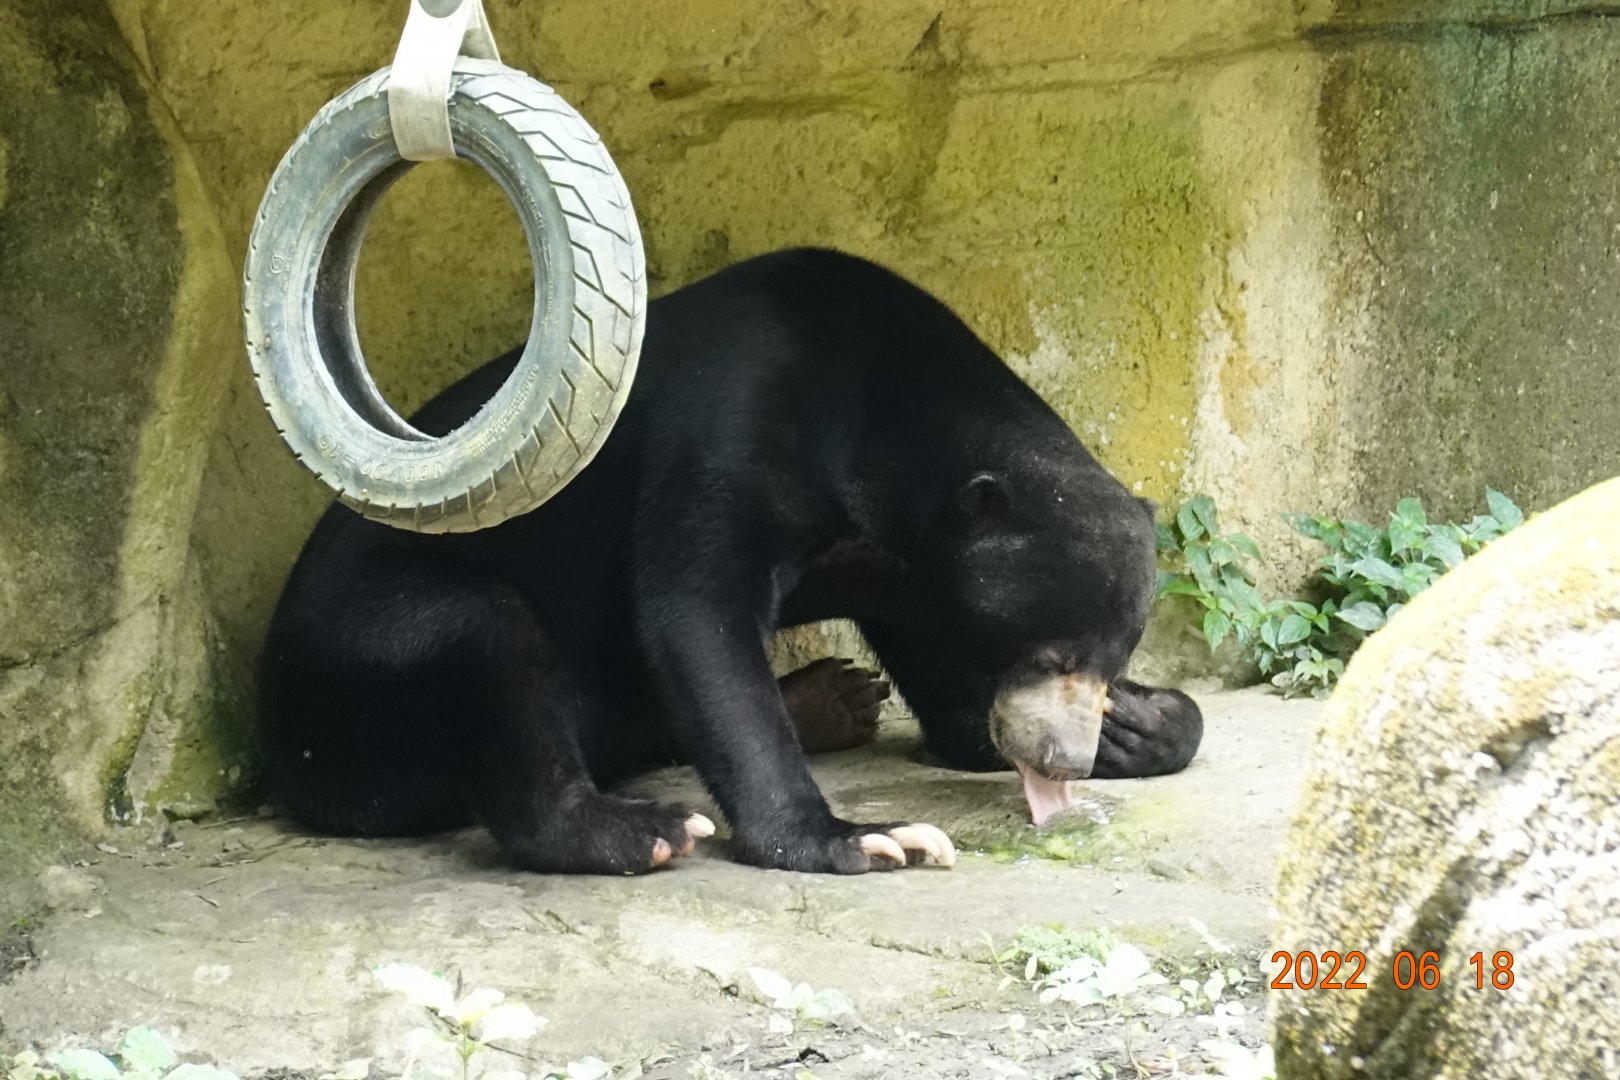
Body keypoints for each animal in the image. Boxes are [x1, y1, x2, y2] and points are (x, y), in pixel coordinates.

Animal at [256, 248, 1203, 875]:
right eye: (1050, 654)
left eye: (1112, 656)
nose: (1065, 763)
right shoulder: (733, 422)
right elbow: (694, 613)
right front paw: (857, 838)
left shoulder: (912, 574)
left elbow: (959, 706)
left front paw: (1146, 722)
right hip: (354, 657)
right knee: (479, 635)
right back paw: (635, 829)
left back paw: (830, 699)